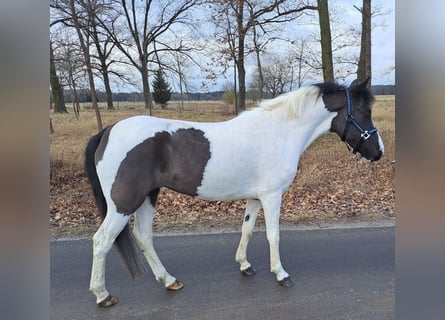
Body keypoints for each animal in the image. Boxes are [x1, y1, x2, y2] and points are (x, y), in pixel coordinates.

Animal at [86, 79, 382, 306]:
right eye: (364, 112)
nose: (378, 152)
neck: (279, 133)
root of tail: (108, 131)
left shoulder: (255, 197)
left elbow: (247, 229)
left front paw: (244, 265)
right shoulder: (272, 196)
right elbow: (273, 235)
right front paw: (281, 274)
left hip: (149, 196)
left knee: (144, 236)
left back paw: (169, 281)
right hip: (124, 204)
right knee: (102, 241)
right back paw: (102, 295)